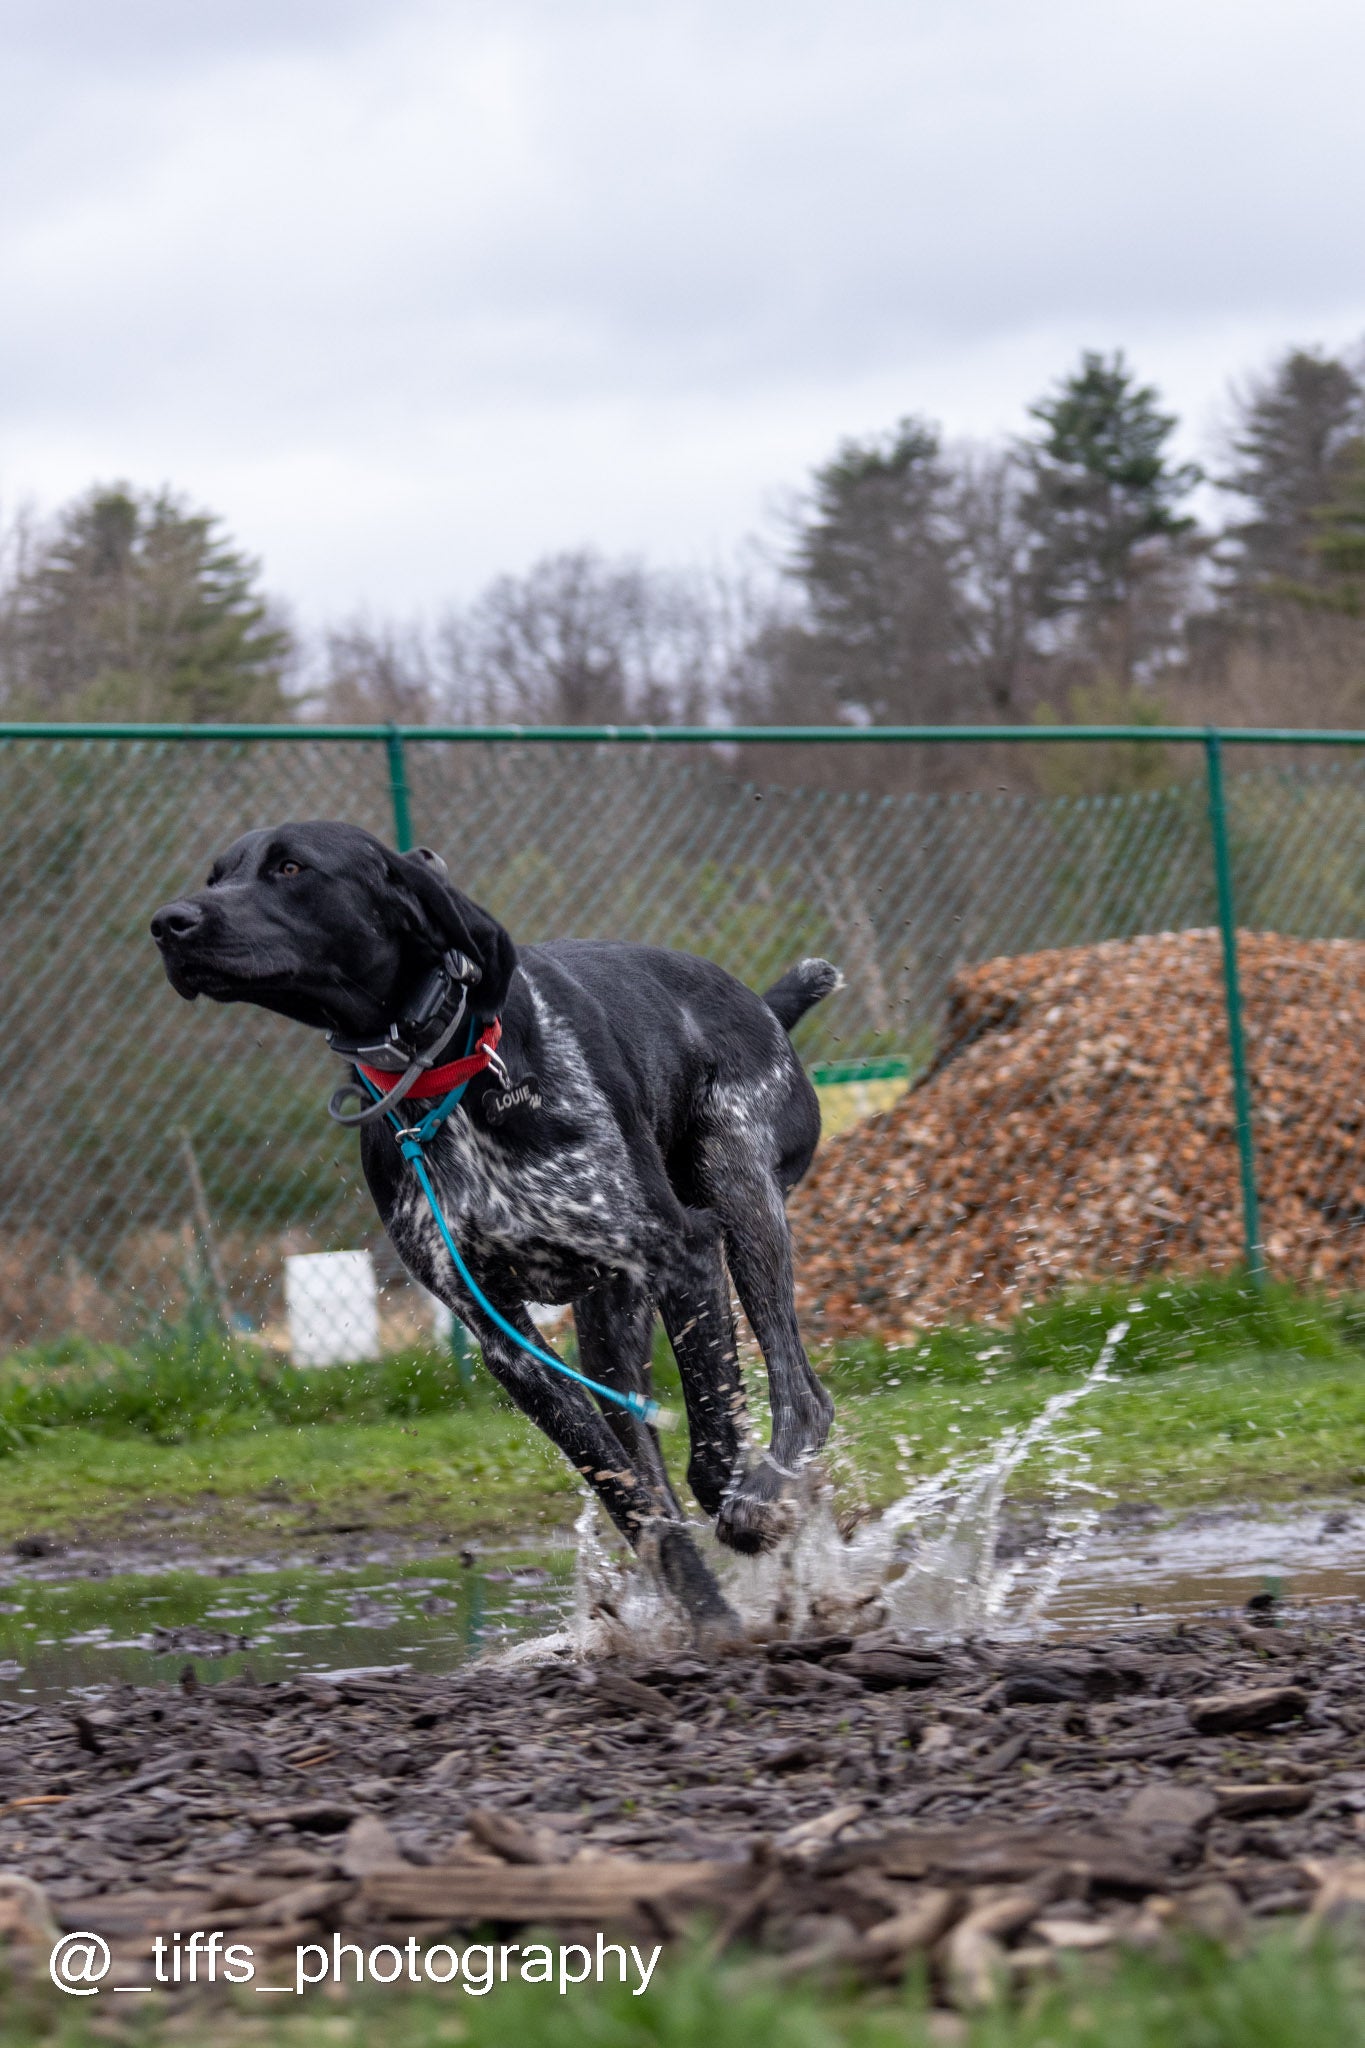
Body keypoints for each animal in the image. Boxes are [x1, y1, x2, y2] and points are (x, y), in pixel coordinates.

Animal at [147, 823, 834, 1638]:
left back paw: (767, 1495)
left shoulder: (685, 1253)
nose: (168, 923)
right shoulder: (508, 1344)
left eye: (290, 867)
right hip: (607, 1336)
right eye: (215, 875)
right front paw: (706, 1621)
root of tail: (762, 1004)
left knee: (801, 1392)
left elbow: (709, 1443)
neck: (446, 1074)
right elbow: (633, 1500)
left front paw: (745, 1508)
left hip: (738, 1190)